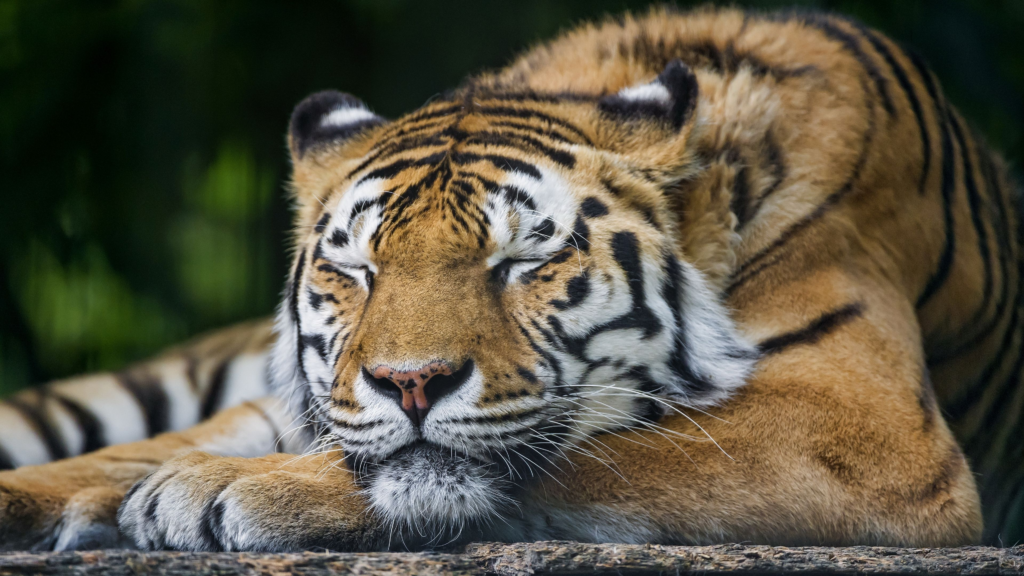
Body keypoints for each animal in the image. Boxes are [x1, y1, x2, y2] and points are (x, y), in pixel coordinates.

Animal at [2, 4, 1024, 549]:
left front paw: (217, 491)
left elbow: (608, 451)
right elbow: (138, 452)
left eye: (525, 261)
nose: (410, 383)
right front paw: (118, 494)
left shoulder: (861, 427)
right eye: (357, 269)